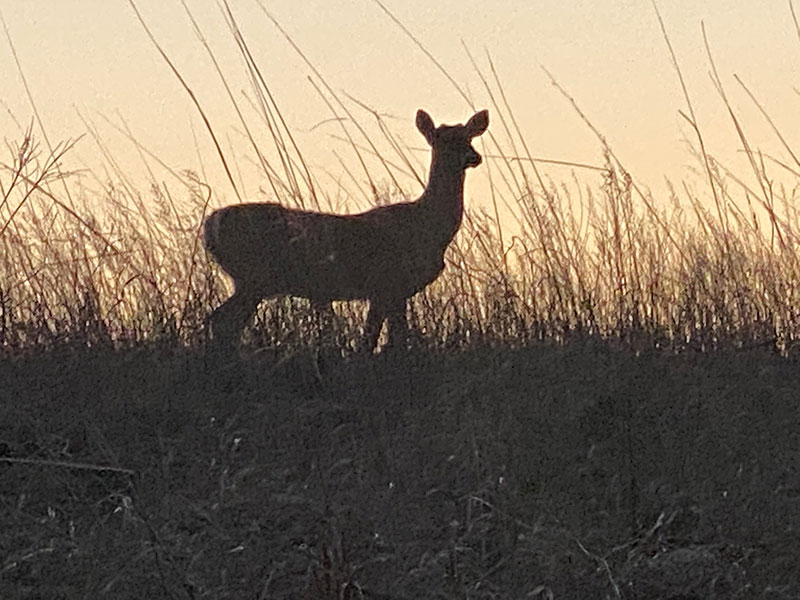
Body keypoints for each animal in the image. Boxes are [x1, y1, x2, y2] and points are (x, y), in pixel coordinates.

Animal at [203, 109, 488, 352]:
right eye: (440, 140)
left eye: (469, 137)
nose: (473, 157)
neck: (429, 226)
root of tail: (210, 224)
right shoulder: (386, 282)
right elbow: (377, 341)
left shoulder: (395, 291)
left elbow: (389, 339)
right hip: (255, 276)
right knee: (223, 321)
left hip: (249, 280)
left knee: (221, 321)